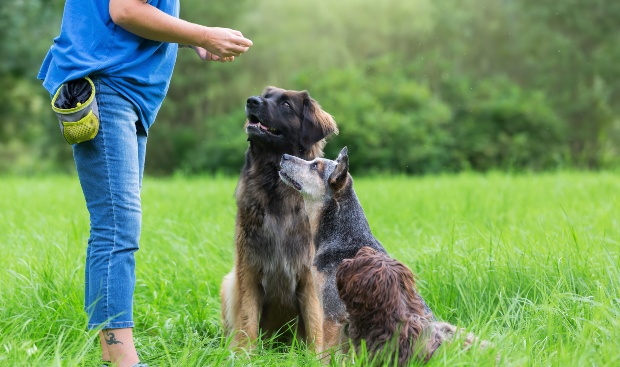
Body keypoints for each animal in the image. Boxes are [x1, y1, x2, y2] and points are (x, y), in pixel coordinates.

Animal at [220, 87, 340, 354]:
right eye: (265, 95)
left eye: (286, 105)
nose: (252, 101)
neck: (275, 187)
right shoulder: (248, 268)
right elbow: (247, 320)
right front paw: (245, 355)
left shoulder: (309, 275)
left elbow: (315, 323)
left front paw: (315, 357)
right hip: (228, 283)